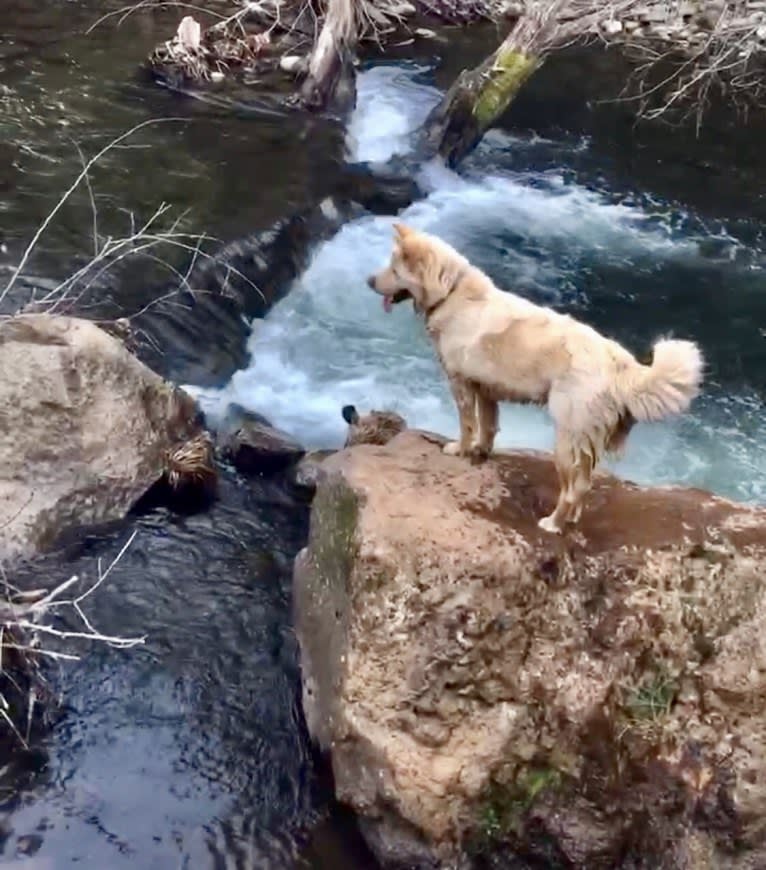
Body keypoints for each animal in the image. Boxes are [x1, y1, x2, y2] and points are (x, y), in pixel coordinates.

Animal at [368, 223, 704, 532]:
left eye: (394, 269)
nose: (369, 281)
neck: (451, 293)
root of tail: (619, 364)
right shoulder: (486, 389)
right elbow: (488, 427)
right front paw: (481, 452)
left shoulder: (460, 382)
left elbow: (467, 424)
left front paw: (459, 449)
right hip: (585, 442)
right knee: (585, 485)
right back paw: (572, 519)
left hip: (567, 438)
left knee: (572, 489)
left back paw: (553, 523)